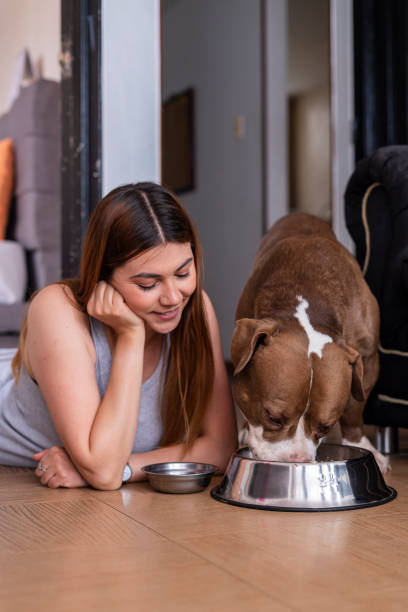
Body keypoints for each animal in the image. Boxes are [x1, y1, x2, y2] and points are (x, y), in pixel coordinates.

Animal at [231, 213, 388, 470]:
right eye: (273, 417)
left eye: (326, 426)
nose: (298, 461)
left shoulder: (366, 357)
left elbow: (355, 408)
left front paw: (362, 445)